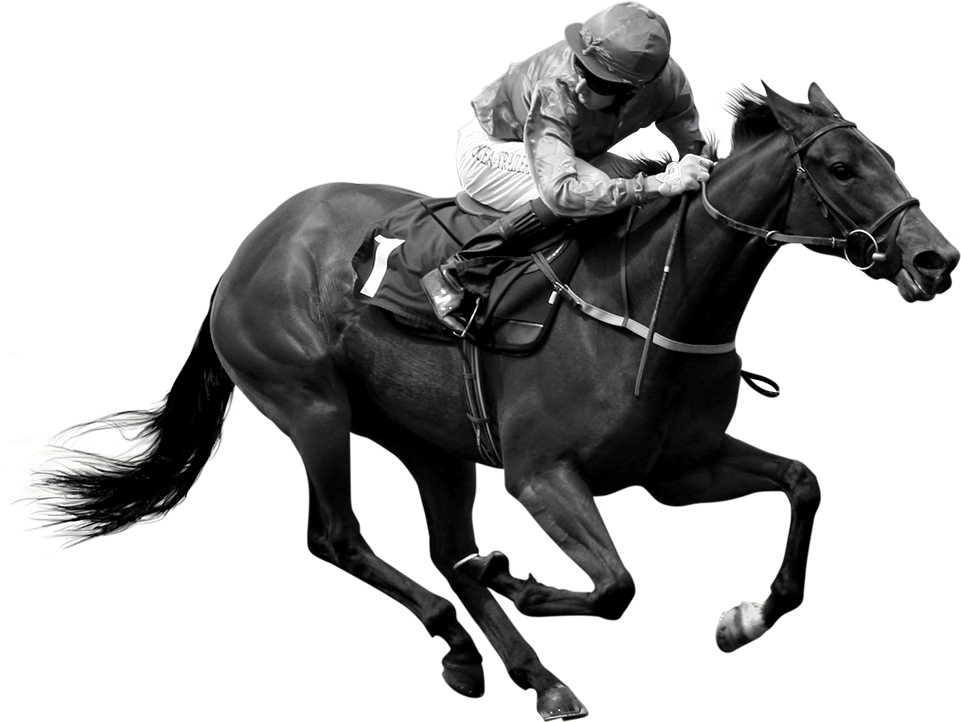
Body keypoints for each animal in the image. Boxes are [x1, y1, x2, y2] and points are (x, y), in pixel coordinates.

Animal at [13, 81, 958, 721]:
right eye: (839, 166)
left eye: (883, 158)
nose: (933, 259)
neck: (661, 300)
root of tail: (247, 251)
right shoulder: (542, 474)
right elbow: (613, 585)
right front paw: (526, 583)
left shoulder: (680, 468)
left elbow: (802, 484)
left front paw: (743, 619)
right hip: (312, 405)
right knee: (341, 538)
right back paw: (468, 644)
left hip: (429, 440)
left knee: (444, 548)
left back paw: (532, 675)